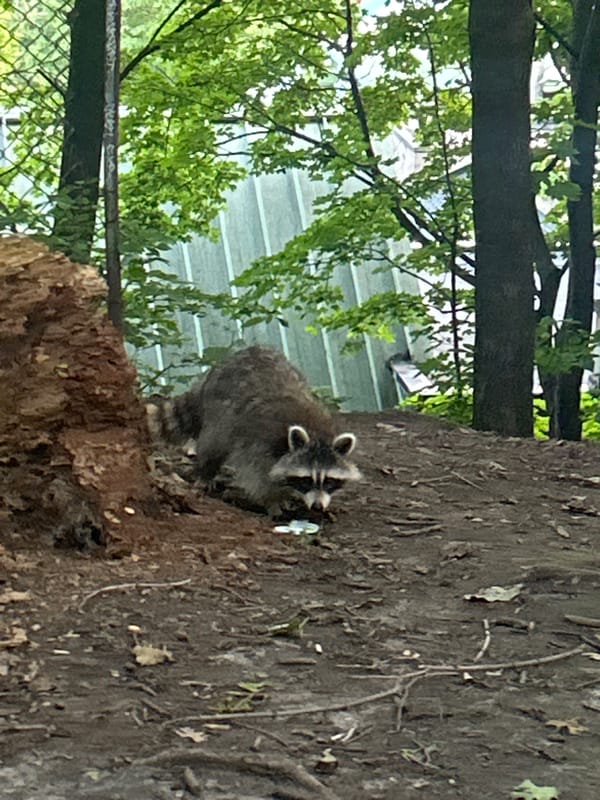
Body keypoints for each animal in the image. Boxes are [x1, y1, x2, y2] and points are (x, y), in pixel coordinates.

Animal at [147, 346, 361, 515]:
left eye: (330, 481)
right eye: (307, 480)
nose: (318, 507)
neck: (317, 434)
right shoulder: (257, 442)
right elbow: (255, 476)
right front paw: (272, 500)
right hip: (219, 412)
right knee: (213, 443)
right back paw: (205, 472)